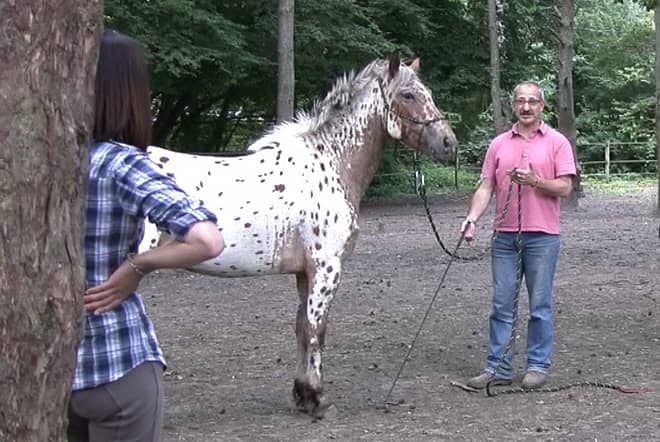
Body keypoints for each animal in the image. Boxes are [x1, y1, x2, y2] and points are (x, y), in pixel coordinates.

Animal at [142, 54, 457, 417]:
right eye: (408, 94)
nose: (449, 143)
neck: (331, 162)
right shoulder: (326, 268)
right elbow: (316, 328)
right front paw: (316, 397)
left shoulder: (305, 272)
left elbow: (302, 327)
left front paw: (302, 393)